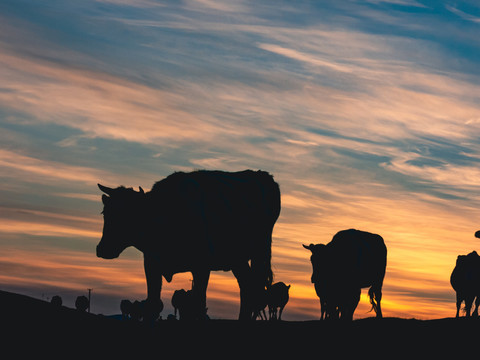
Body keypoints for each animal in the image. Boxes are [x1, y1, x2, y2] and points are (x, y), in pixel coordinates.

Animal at [96, 169, 282, 320]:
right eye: (106, 212)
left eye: (128, 214)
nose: (102, 249)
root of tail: (263, 176)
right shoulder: (151, 263)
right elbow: (153, 304)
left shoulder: (201, 266)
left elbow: (198, 305)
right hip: (237, 259)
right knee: (247, 288)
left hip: (260, 253)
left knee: (254, 292)